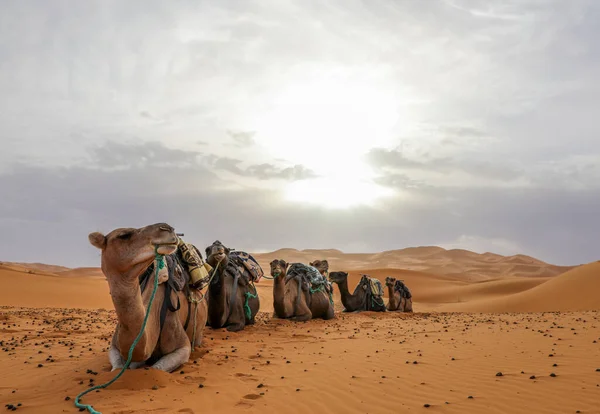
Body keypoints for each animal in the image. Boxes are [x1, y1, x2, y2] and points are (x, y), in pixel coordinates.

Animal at [86, 223, 209, 372]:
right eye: (124, 235)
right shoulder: (114, 346)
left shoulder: (182, 346)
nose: (167, 228)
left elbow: (156, 368)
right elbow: (118, 368)